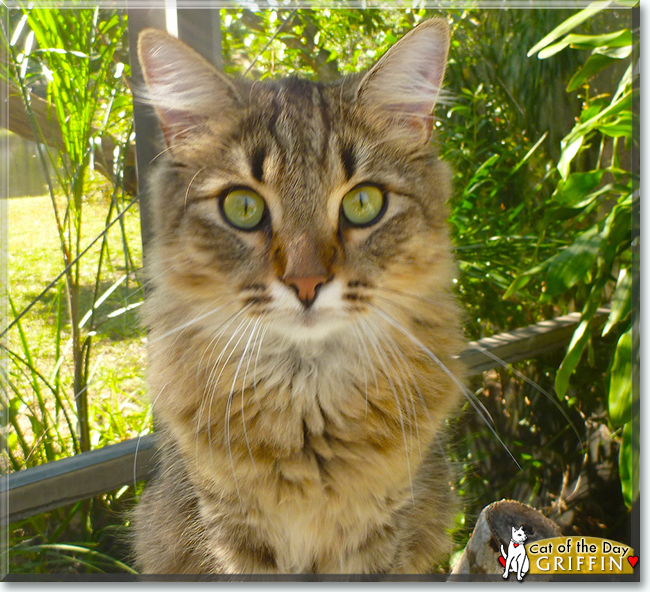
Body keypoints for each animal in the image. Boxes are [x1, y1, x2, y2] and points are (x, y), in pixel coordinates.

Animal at [133, 17, 466, 572]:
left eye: (363, 204)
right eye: (243, 207)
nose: (306, 283)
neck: (308, 412)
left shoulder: (385, 527)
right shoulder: (230, 527)